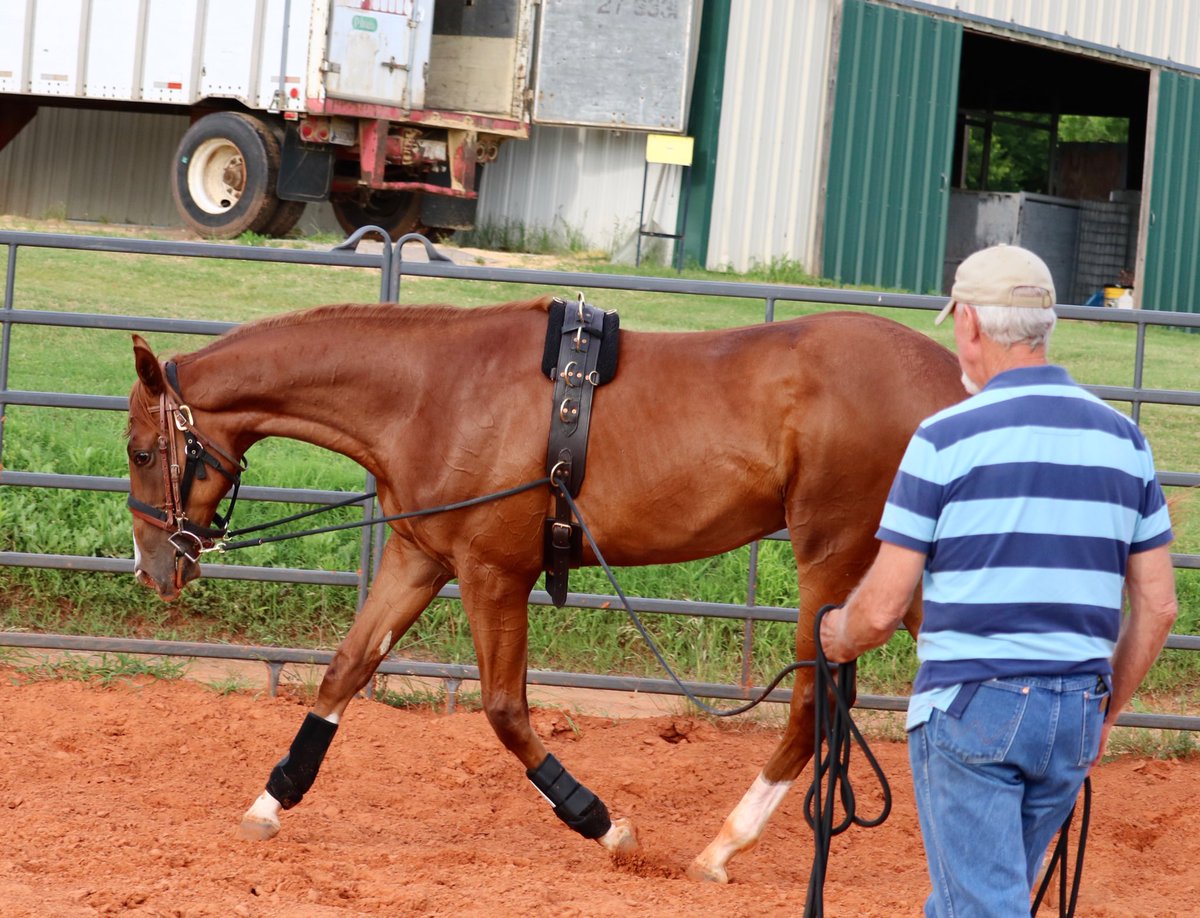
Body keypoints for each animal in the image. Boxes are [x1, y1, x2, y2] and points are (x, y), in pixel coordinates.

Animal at [124, 294, 964, 883]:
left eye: (140, 451)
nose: (153, 568)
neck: (434, 394)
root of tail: (950, 383)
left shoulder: (493, 574)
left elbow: (504, 711)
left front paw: (603, 824)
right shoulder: (418, 557)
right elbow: (345, 671)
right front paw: (271, 803)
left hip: (833, 561)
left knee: (810, 706)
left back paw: (722, 848)